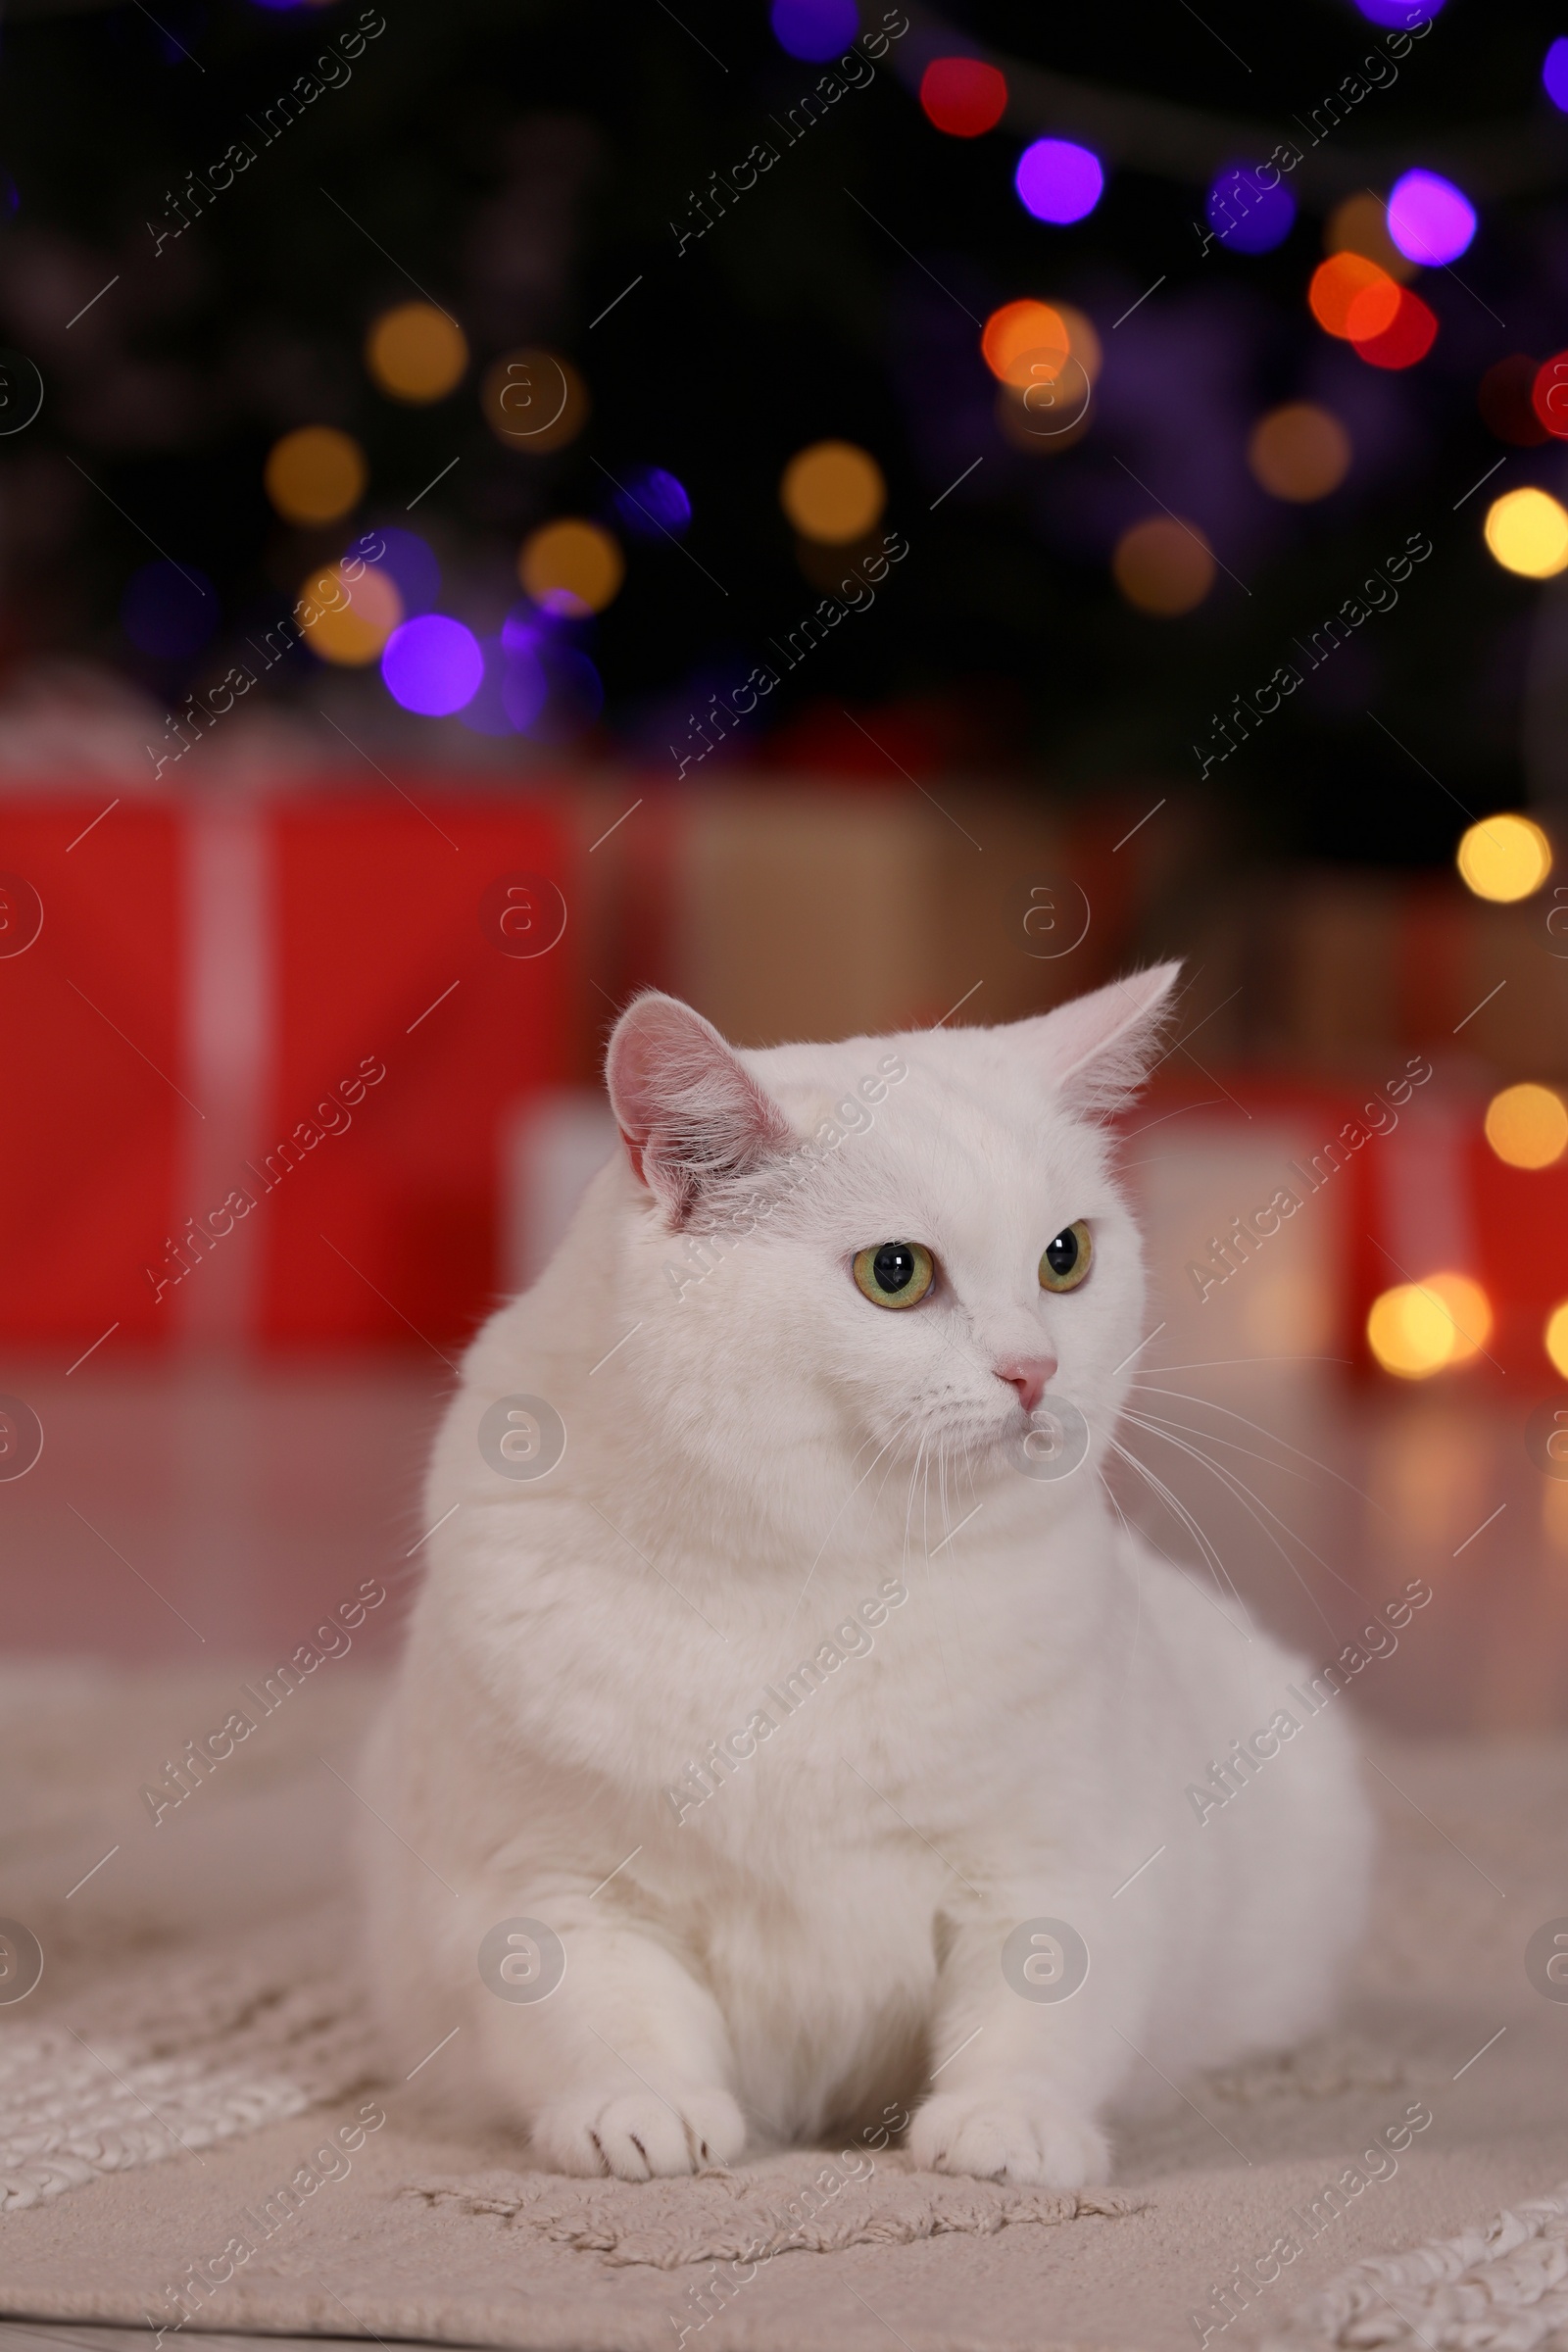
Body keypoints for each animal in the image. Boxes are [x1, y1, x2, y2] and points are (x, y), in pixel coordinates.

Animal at [362, 959, 1363, 2182]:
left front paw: (1009, 2126)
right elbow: (603, 2010)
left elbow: (1042, 2008)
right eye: (895, 1274)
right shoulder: (544, 1886)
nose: (1034, 1369)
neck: (817, 1580)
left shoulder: (1063, 1865)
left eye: (1065, 1257)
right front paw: (640, 2109)